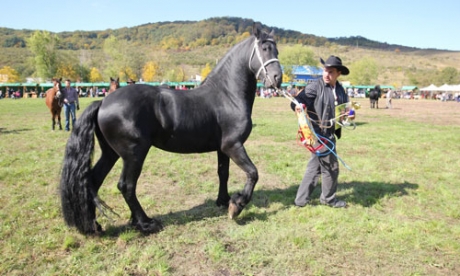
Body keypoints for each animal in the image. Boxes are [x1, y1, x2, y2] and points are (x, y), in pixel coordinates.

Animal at [59, 25, 282, 234]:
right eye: (264, 48)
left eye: (276, 50)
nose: (277, 78)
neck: (226, 95)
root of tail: (103, 102)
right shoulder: (233, 146)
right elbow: (253, 173)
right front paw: (237, 205)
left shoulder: (222, 149)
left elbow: (223, 173)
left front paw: (224, 200)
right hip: (134, 154)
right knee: (126, 186)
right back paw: (146, 223)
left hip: (111, 153)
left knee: (92, 181)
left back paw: (94, 225)